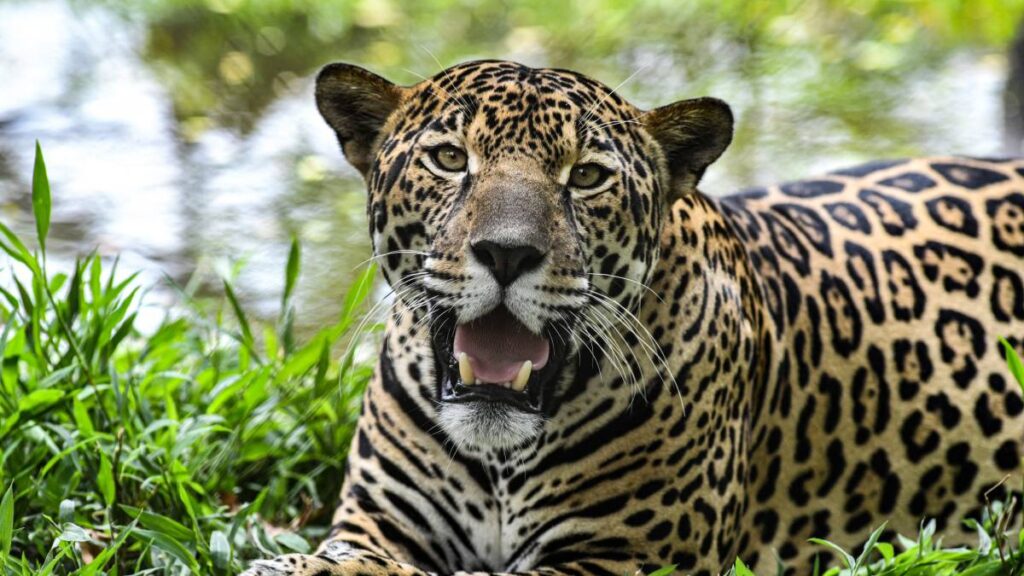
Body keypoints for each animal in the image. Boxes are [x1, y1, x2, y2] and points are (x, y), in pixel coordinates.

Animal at [243, 60, 1024, 576]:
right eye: (448, 158)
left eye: (587, 176)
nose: (506, 252)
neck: (500, 460)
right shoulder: (378, 522)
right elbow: (352, 558)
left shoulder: (625, 560)